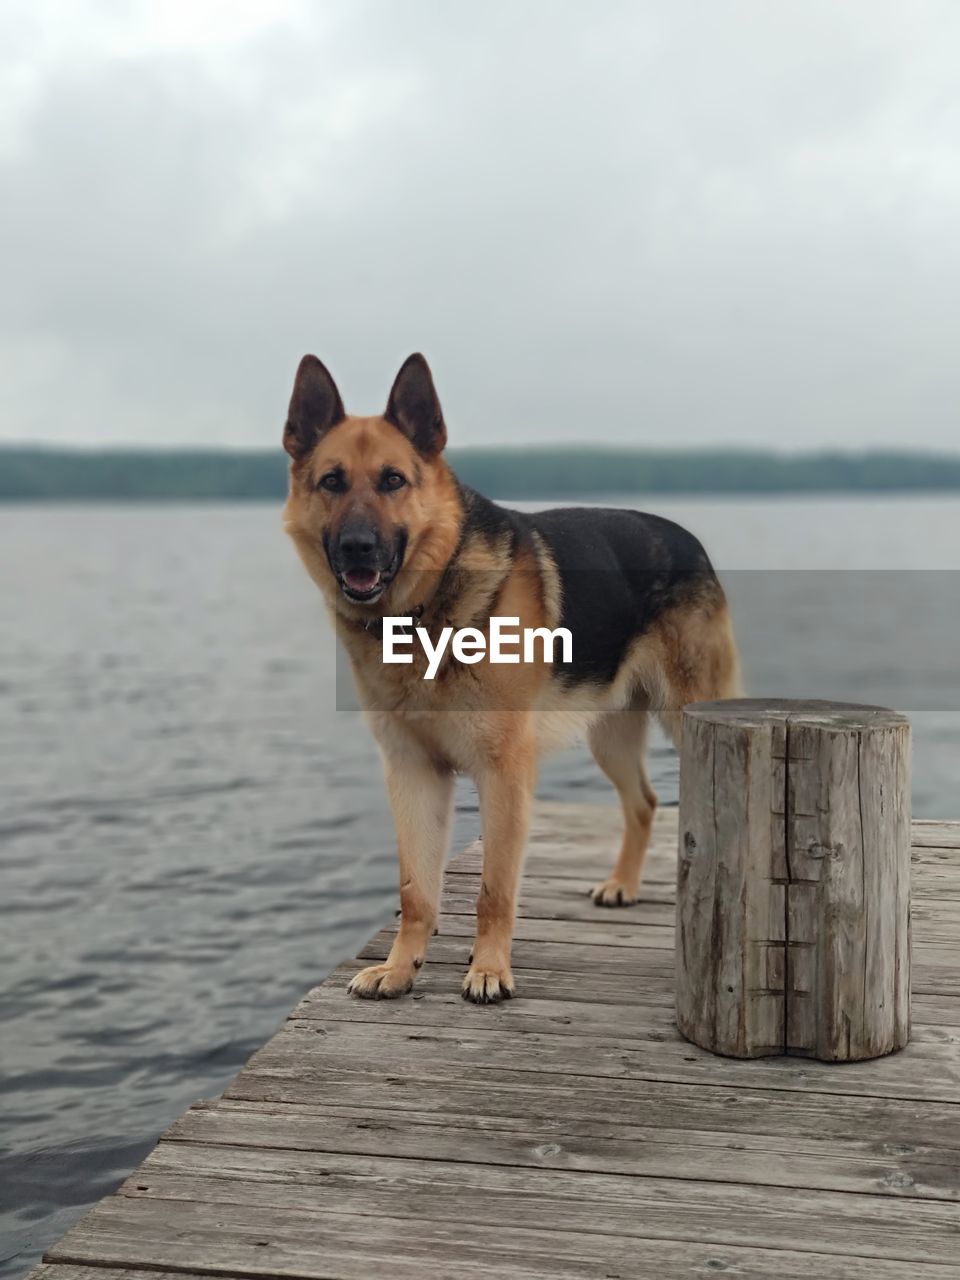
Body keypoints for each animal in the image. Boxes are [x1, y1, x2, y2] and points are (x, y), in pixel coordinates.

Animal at [281, 355, 742, 1003]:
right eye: (332, 482)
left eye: (393, 480)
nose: (356, 547)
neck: (422, 613)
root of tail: (688, 537)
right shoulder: (412, 773)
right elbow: (415, 891)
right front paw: (400, 969)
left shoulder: (503, 775)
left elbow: (493, 890)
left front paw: (489, 970)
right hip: (609, 737)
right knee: (645, 802)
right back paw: (622, 884)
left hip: (692, 718)